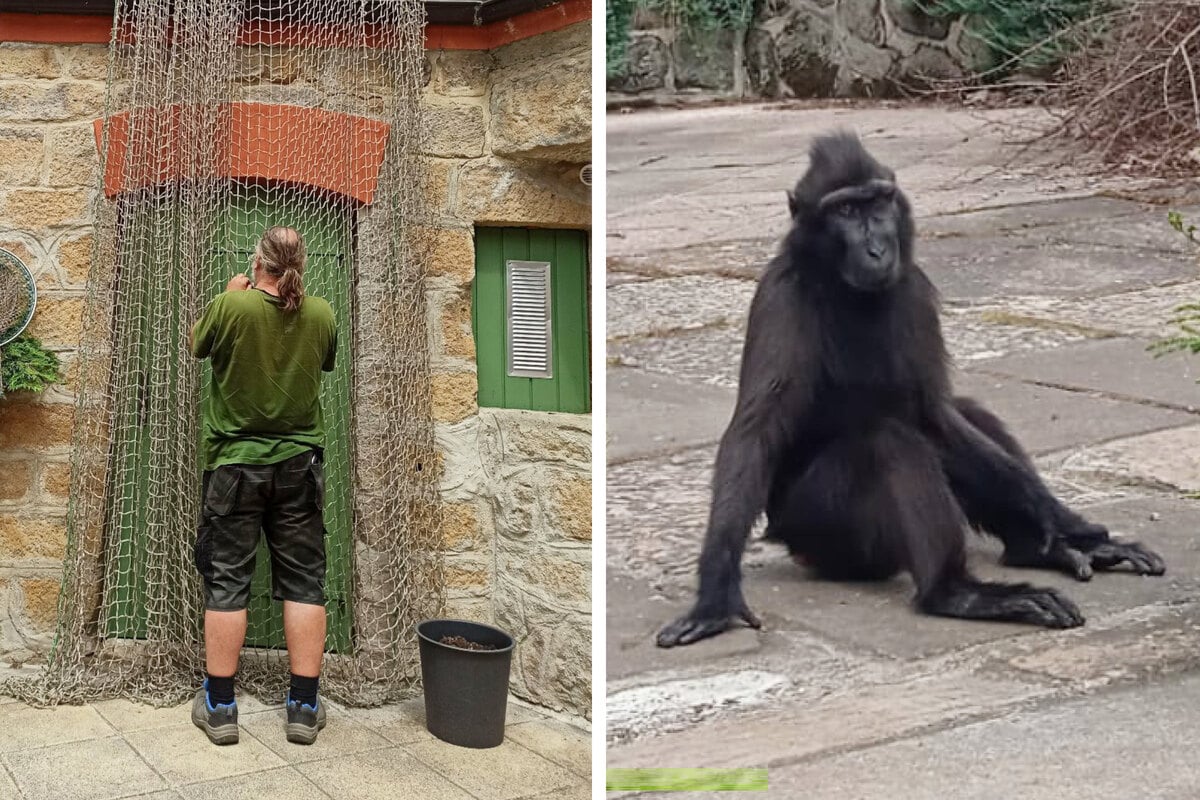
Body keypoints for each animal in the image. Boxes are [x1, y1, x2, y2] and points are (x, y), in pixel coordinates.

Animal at [652, 128, 1166, 647]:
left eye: (878, 203)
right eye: (844, 210)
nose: (878, 247)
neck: (845, 288)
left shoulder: (913, 286)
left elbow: (935, 411)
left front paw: (1065, 525)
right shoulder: (782, 294)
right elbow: (756, 431)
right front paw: (715, 594)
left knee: (961, 417)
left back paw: (1035, 550)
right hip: (819, 527)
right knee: (889, 441)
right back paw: (957, 594)